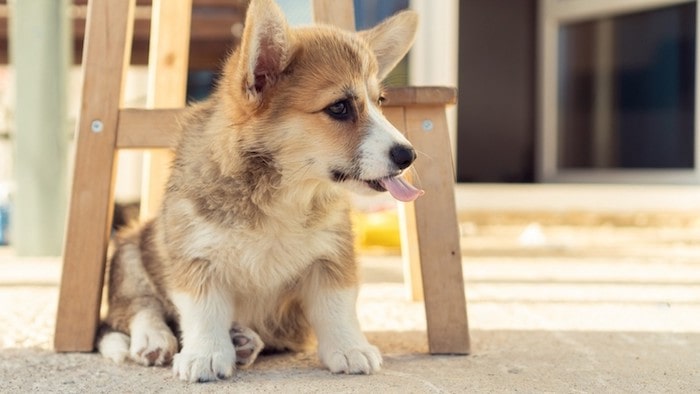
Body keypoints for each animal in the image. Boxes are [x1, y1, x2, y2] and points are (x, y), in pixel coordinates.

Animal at [98, 0, 422, 382]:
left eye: (379, 101)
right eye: (339, 107)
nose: (408, 155)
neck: (282, 191)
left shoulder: (331, 254)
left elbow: (336, 306)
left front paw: (349, 348)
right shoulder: (196, 254)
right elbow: (203, 309)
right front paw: (205, 355)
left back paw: (242, 341)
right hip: (130, 249)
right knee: (136, 308)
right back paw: (155, 339)